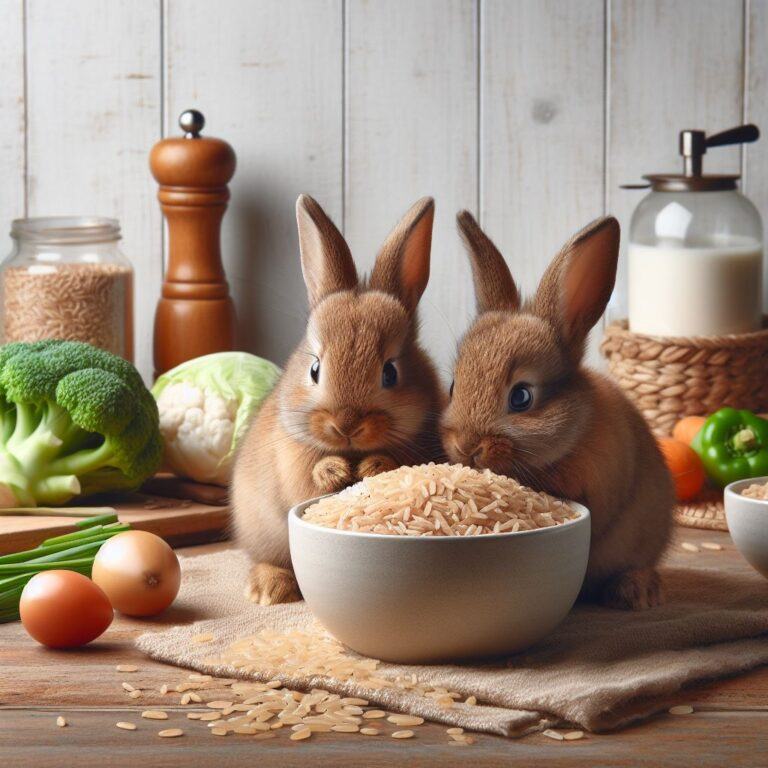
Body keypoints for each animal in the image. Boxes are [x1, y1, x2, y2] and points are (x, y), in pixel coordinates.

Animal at [232, 195, 444, 604]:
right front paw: (334, 472)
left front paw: (372, 467)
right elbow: (309, 479)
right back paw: (269, 589)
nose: (346, 425)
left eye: (390, 372)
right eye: (315, 369)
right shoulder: (293, 459)